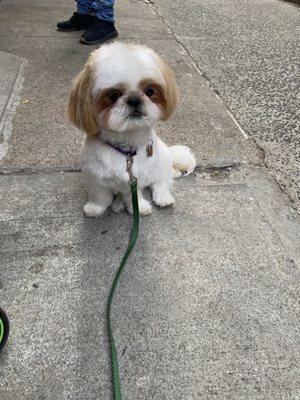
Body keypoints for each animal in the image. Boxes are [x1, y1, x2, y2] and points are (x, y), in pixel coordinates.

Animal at [67, 42, 196, 217]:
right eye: (114, 94)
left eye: (149, 90)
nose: (134, 99)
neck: (125, 148)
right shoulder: (96, 177)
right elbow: (100, 196)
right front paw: (95, 208)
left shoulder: (134, 179)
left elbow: (133, 196)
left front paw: (139, 208)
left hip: (160, 164)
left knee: (161, 181)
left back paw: (163, 197)